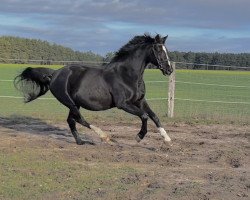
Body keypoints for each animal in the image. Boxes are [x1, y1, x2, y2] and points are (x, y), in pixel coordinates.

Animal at [14, 33, 173, 145]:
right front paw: (139, 137)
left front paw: (167, 138)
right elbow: (144, 116)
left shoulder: (140, 101)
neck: (127, 74)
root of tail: (54, 74)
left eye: (166, 50)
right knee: (79, 119)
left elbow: (154, 116)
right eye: (158, 50)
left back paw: (80, 142)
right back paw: (104, 136)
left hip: (74, 103)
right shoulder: (123, 104)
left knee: (71, 120)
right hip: (69, 102)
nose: (169, 69)